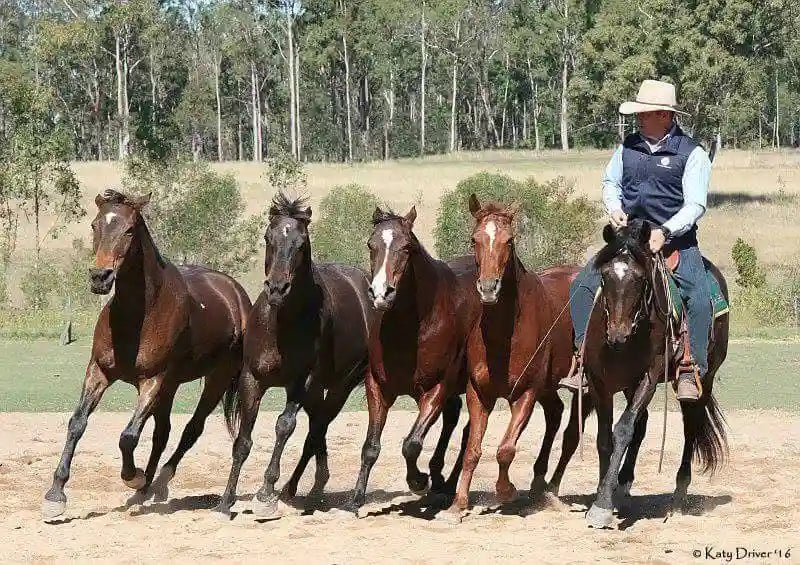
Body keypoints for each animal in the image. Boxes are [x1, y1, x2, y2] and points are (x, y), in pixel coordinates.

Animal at [40, 189, 252, 520]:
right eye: (94, 225)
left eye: (129, 230)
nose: (100, 277)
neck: (140, 314)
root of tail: (236, 294)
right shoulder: (99, 372)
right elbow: (77, 423)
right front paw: (55, 495)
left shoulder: (152, 381)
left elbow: (128, 436)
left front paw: (133, 476)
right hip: (172, 386)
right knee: (162, 433)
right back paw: (146, 490)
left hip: (215, 379)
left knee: (191, 430)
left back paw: (157, 481)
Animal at [346, 206, 478, 512]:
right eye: (371, 245)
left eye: (406, 247)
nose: (381, 293)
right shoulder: (378, 387)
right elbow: (371, 447)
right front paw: (356, 498)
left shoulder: (435, 389)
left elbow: (412, 444)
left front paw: (419, 481)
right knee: (454, 417)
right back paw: (440, 478)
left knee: (468, 432)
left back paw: (446, 485)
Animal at [444, 195, 580, 520]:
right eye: (474, 239)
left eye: (510, 240)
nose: (488, 288)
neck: (507, 332)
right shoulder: (478, 393)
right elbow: (472, 450)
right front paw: (458, 504)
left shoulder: (526, 393)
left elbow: (505, 449)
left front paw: (506, 491)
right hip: (548, 387)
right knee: (555, 414)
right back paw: (539, 483)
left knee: (571, 433)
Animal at [580, 218, 732, 528]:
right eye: (605, 276)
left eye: (640, 279)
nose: (617, 334)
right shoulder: (601, 383)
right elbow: (605, 438)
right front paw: (604, 494)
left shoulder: (649, 378)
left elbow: (623, 430)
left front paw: (603, 505)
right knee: (643, 423)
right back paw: (623, 484)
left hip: (704, 379)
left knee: (690, 426)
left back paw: (678, 495)